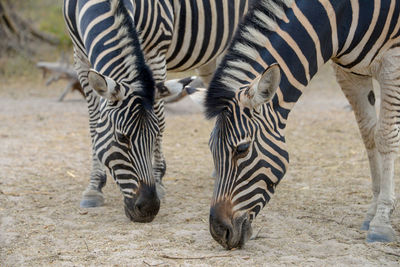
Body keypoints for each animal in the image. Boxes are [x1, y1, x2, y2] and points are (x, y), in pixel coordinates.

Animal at [62, 0, 250, 222]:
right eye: (122, 137)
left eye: (153, 136)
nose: (148, 208)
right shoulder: (80, 55)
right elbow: (93, 122)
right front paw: (94, 187)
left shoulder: (155, 52)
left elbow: (160, 118)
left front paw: (159, 179)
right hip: (211, 56)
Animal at [199, 0, 400, 249]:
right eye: (210, 148)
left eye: (242, 149)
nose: (218, 232)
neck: (341, 16)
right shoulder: (348, 72)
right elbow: (368, 134)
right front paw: (373, 211)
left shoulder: (393, 61)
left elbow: (385, 137)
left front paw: (381, 221)